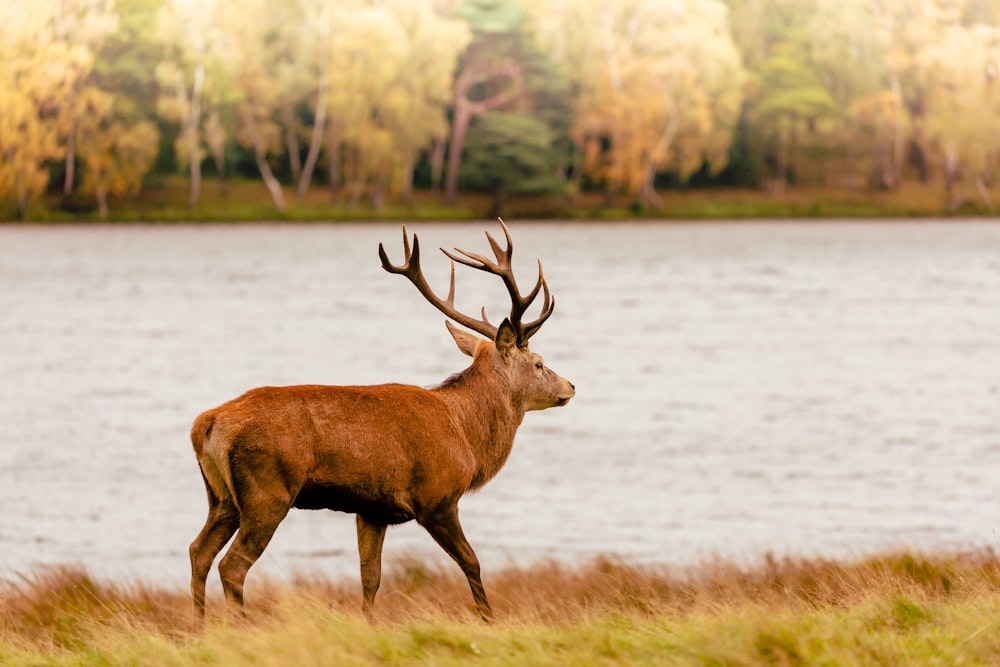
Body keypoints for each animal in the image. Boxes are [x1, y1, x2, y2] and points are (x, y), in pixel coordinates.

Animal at [188, 219, 576, 628]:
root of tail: (206, 423)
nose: (570, 385)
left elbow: (370, 577)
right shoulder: (437, 498)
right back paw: (240, 627)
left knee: (199, 552)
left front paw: (369, 625)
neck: (467, 434)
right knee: (232, 565)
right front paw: (488, 620)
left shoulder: (372, 510)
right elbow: (472, 562)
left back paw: (198, 630)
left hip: (222, 497)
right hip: (267, 491)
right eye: (539, 363)